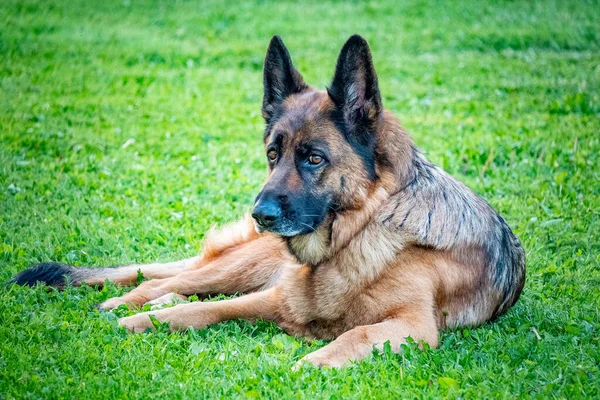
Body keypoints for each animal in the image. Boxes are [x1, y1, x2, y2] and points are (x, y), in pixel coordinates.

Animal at [9, 36, 524, 368]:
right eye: (272, 155)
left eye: (314, 158)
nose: (262, 216)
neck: (357, 235)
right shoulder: (278, 295)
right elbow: (199, 311)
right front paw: (142, 321)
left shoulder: (413, 324)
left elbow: (357, 333)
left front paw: (314, 362)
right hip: (243, 265)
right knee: (165, 281)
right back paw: (129, 303)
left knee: (180, 285)